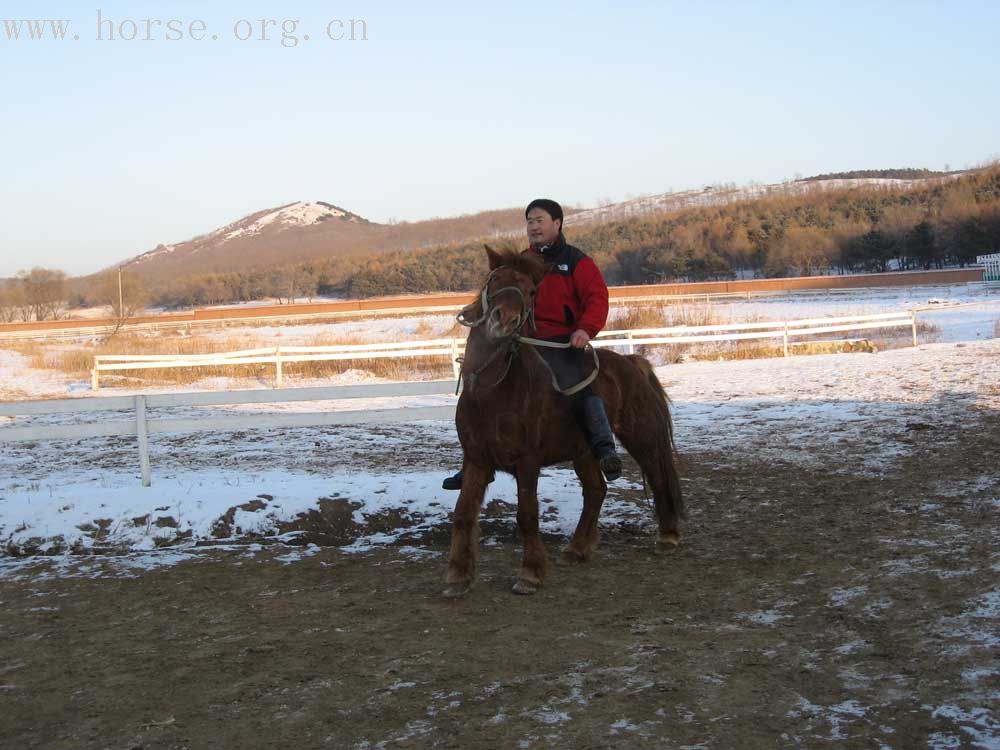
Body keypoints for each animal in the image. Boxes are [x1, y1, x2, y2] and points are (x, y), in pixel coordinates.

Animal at [444, 247, 684, 600]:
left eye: (531, 291)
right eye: (495, 279)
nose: (504, 320)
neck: (493, 389)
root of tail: (631, 361)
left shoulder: (527, 462)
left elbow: (527, 515)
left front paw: (530, 573)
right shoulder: (477, 459)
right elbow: (462, 513)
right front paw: (459, 575)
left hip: (640, 437)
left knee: (657, 476)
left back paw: (667, 535)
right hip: (583, 452)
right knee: (596, 491)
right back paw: (578, 547)